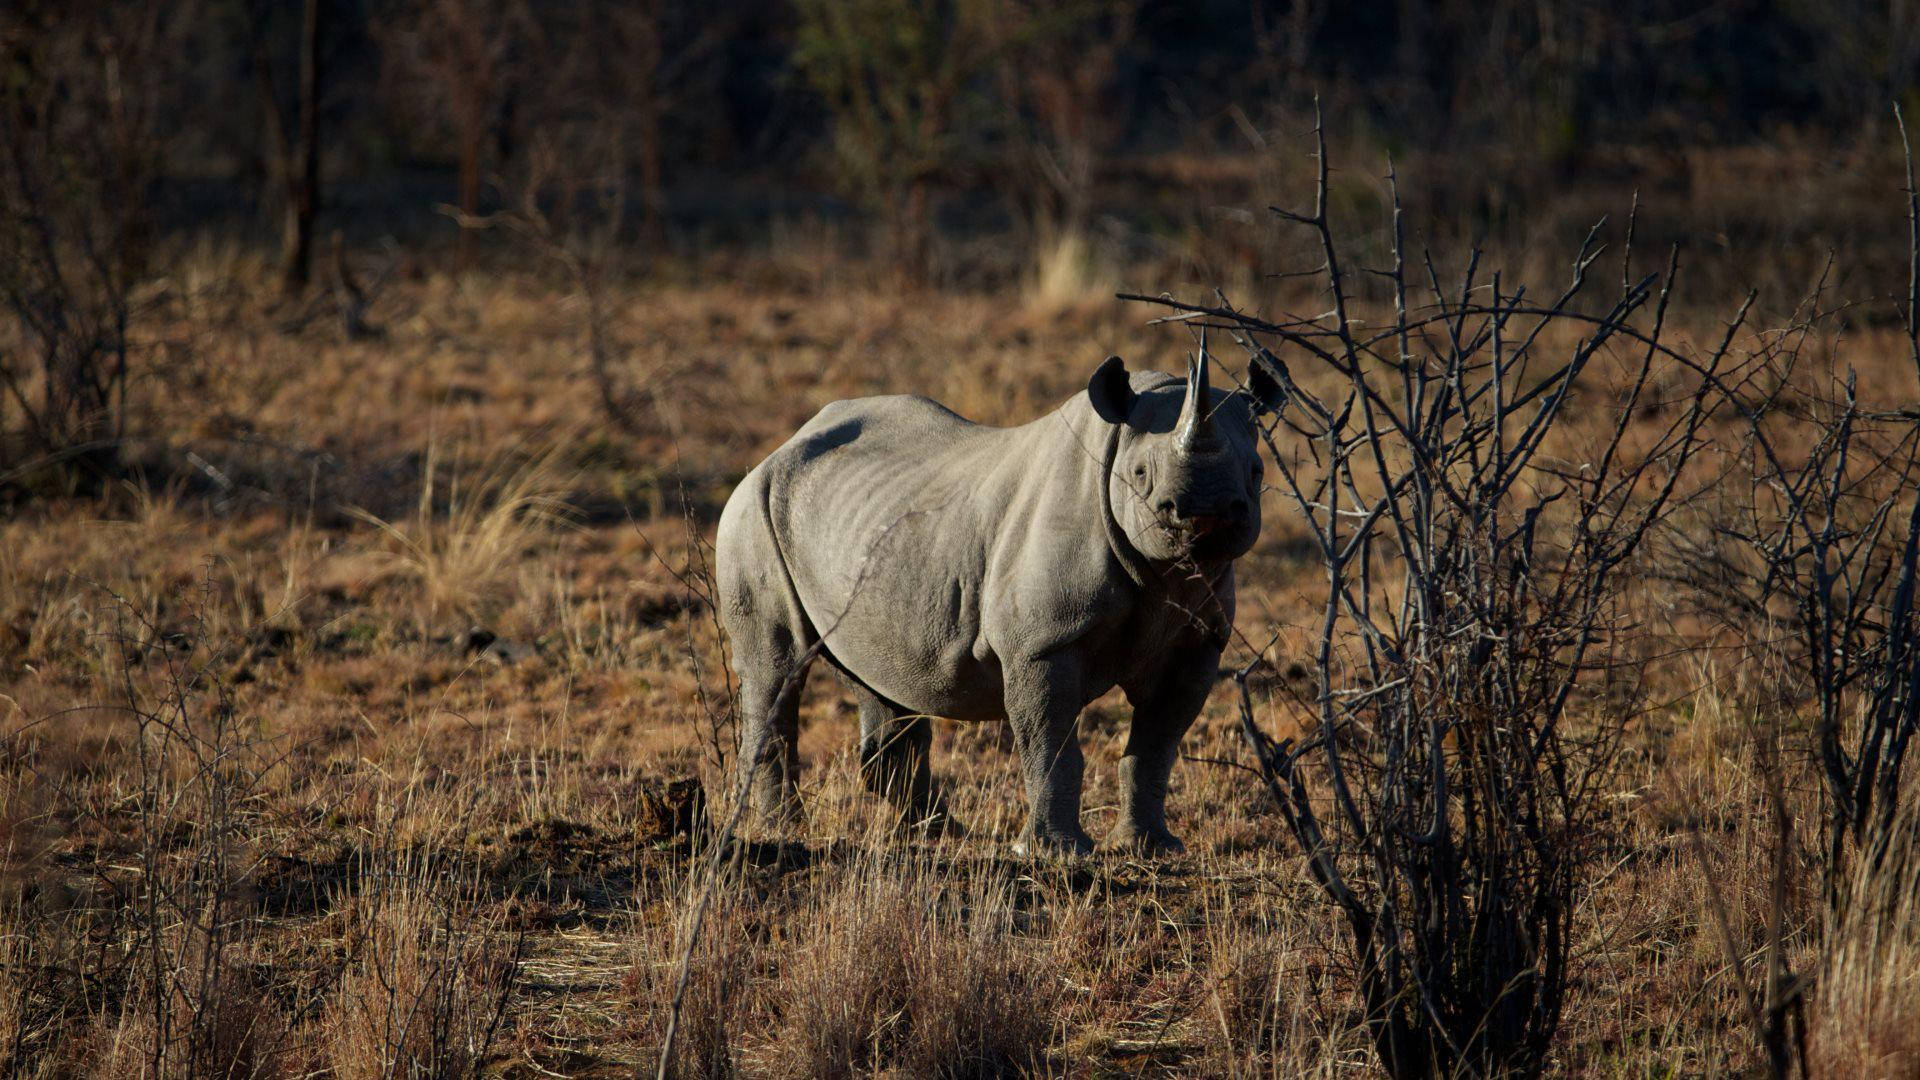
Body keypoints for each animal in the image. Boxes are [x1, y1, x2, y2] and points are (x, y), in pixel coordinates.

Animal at [714, 351, 1283, 855]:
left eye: (1257, 472)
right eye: (1140, 474)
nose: (1206, 512)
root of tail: (782, 446)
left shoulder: (1197, 642)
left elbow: (1157, 745)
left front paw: (1151, 848)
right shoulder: (1044, 643)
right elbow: (1050, 742)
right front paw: (1054, 852)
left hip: (868, 523)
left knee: (883, 674)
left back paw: (939, 833)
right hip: (752, 508)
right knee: (776, 669)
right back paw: (783, 830)